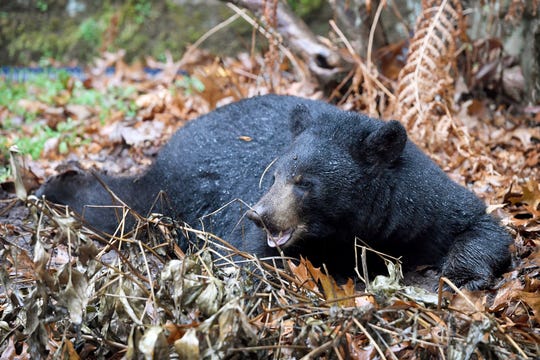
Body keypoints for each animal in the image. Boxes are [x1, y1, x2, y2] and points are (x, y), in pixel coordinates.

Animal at [37, 94, 510, 288]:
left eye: (305, 183)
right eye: (276, 175)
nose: (259, 213)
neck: (353, 228)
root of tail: (165, 154)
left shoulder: (419, 205)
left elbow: (478, 223)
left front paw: (462, 275)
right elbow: (246, 255)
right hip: (175, 199)